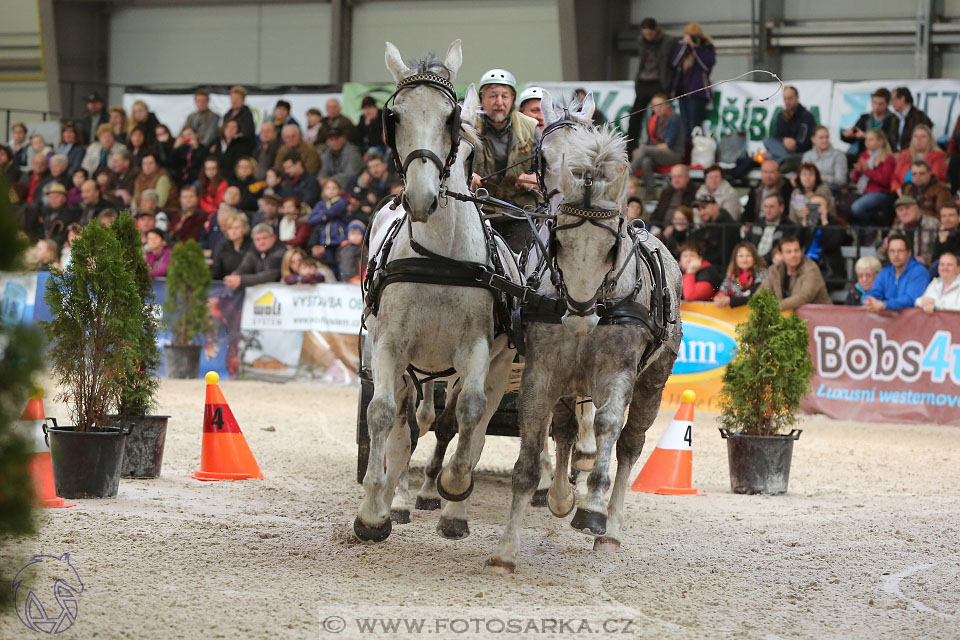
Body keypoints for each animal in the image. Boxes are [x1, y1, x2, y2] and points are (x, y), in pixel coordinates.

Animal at [354, 38, 516, 540]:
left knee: (471, 420)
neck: (440, 261)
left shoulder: (477, 350)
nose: (421, 198)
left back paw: (448, 507)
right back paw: (399, 496)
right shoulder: (389, 345)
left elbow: (468, 416)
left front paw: (453, 490)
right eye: (395, 116)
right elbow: (384, 415)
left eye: (451, 121)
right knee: (408, 421)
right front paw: (375, 511)